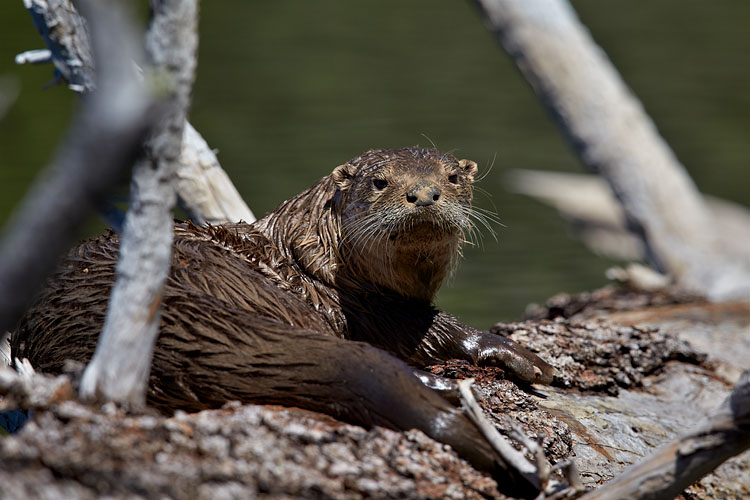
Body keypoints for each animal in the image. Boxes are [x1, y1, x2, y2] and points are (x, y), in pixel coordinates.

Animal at [12, 147, 551, 494]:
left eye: (452, 179)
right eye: (381, 182)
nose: (423, 194)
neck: (318, 263)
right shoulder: (369, 309)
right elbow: (436, 330)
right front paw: (521, 355)